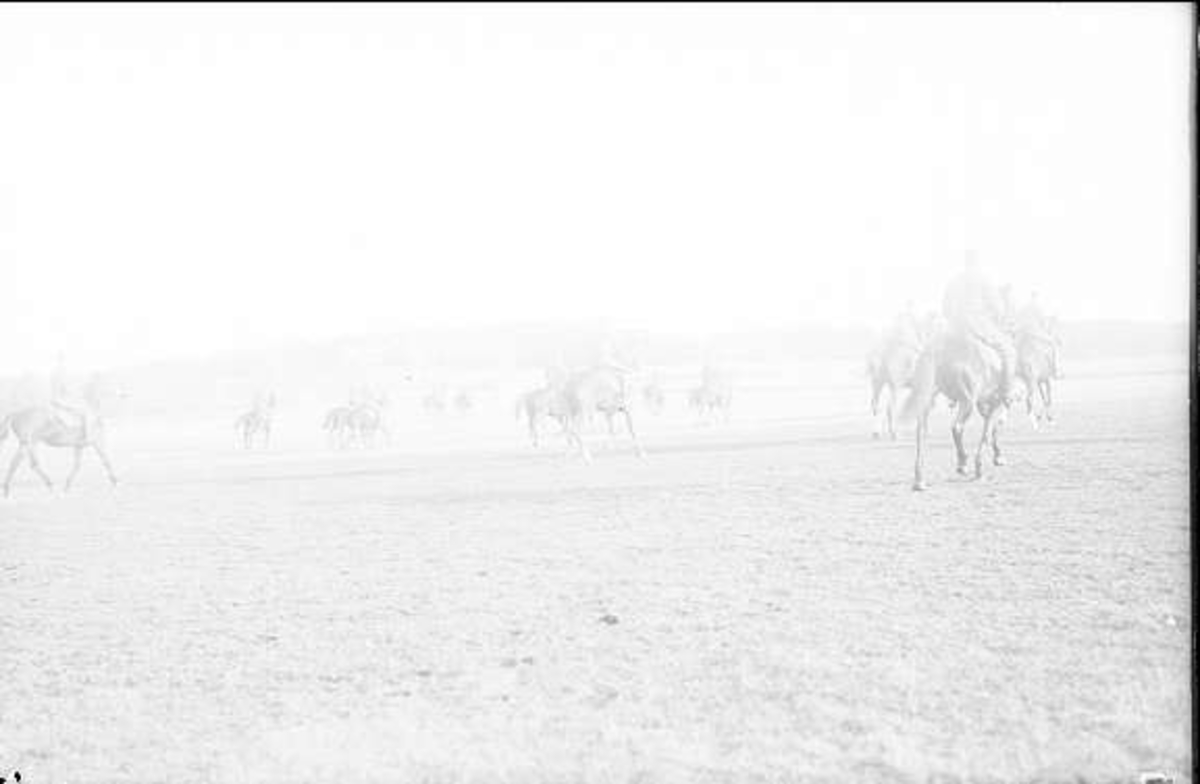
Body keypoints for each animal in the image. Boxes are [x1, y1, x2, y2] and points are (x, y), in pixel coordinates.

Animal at [899, 332, 1013, 491]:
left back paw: (919, 481)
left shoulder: (985, 405)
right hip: (967, 402)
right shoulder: (993, 403)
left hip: (929, 399)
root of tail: (940, 350)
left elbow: (989, 427)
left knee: (921, 432)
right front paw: (981, 466)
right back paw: (963, 463)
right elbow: (991, 429)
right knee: (957, 427)